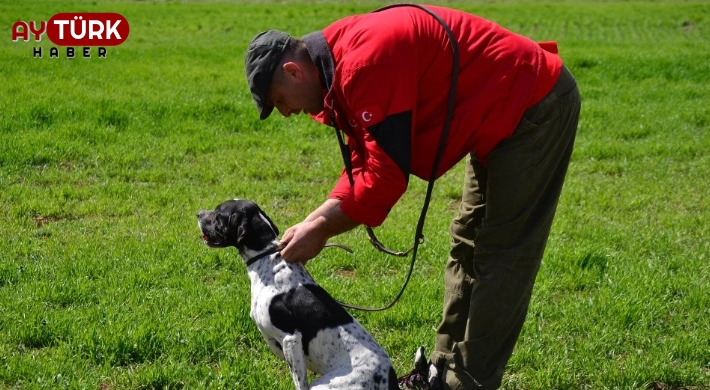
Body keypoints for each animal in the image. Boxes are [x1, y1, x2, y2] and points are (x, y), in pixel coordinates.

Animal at [196, 200, 400, 390]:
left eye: (218, 213)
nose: (198, 213)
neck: (267, 259)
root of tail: (390, 380)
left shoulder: (290, 339)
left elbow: (299, 381)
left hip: (324, 385)